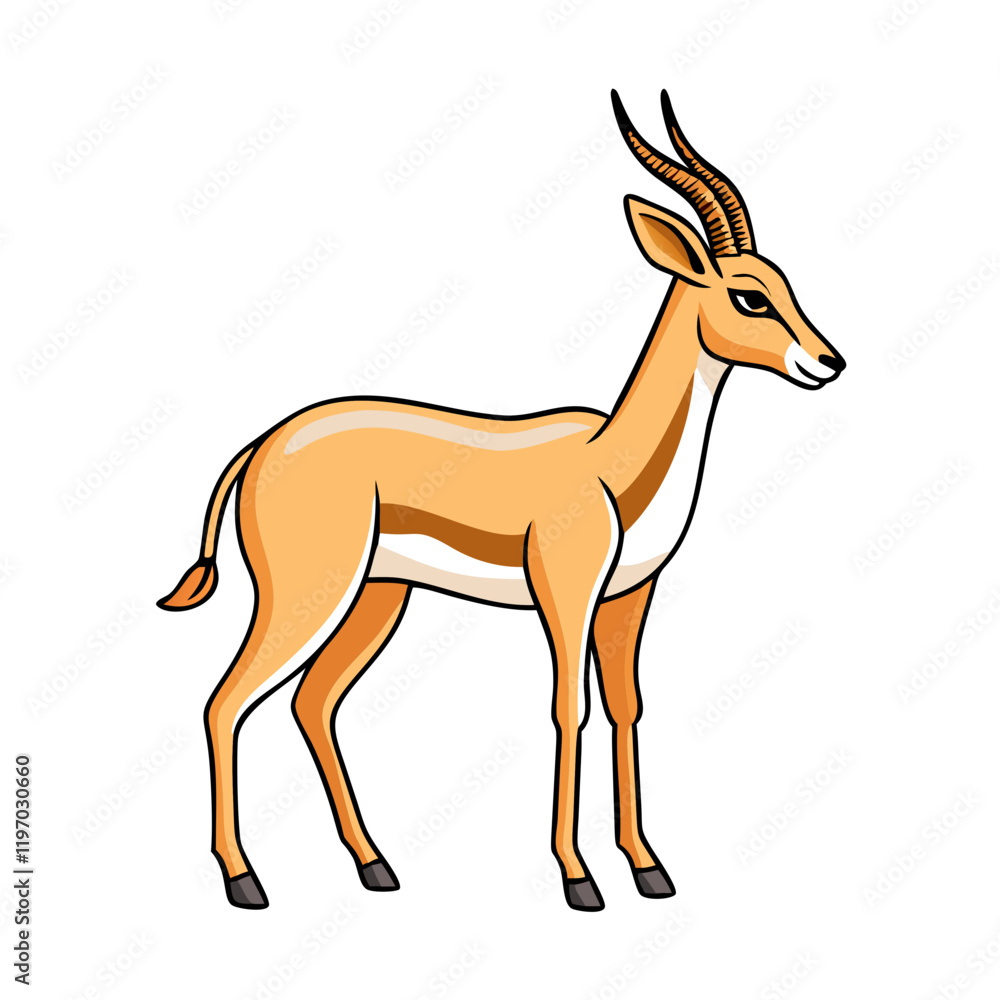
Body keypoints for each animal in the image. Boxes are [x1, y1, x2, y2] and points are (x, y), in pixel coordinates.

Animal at [159, 89, 845, 912]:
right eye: (748, 296)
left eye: (785, 283)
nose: (828, 362)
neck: (612, 463)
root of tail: (263, 444)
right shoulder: (566, 595)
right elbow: (569, 707)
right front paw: (579, 879)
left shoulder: (629, 596)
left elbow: (626, 706)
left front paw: (649, 868)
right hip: (307, 593)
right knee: (225, 701)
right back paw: (244, 881)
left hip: (377, 597)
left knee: (312, 703)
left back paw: (376, 866)